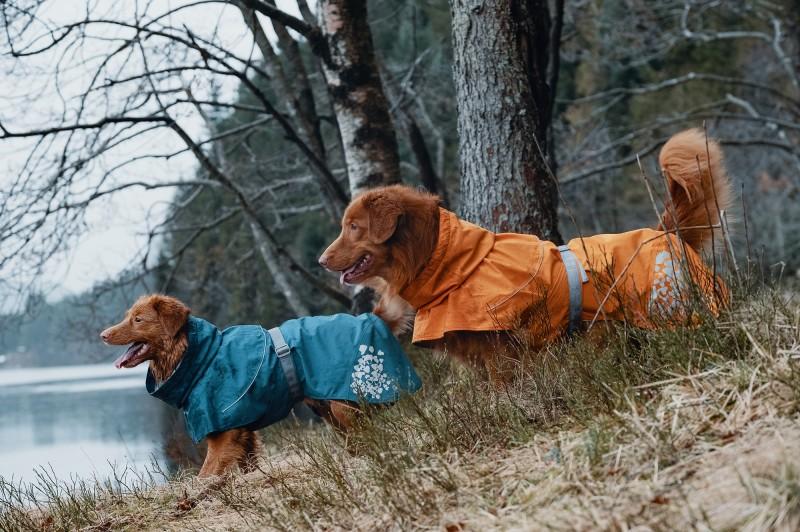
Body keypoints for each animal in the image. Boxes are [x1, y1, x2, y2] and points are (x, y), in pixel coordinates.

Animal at [103, 296, 422, 474]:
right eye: (127, 317)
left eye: (138, 319)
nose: (103, 334)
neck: (198, 355)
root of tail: (373, 318)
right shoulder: (243, 433)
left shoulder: (224, 435)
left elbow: (205, 476)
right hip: (329, 410)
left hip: (346, 406)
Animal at [318, 129, 732, 378]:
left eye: (353, 227)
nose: (321, 261)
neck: (450, 262)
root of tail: (664, 232)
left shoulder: (500, 353)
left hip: (671, 311)